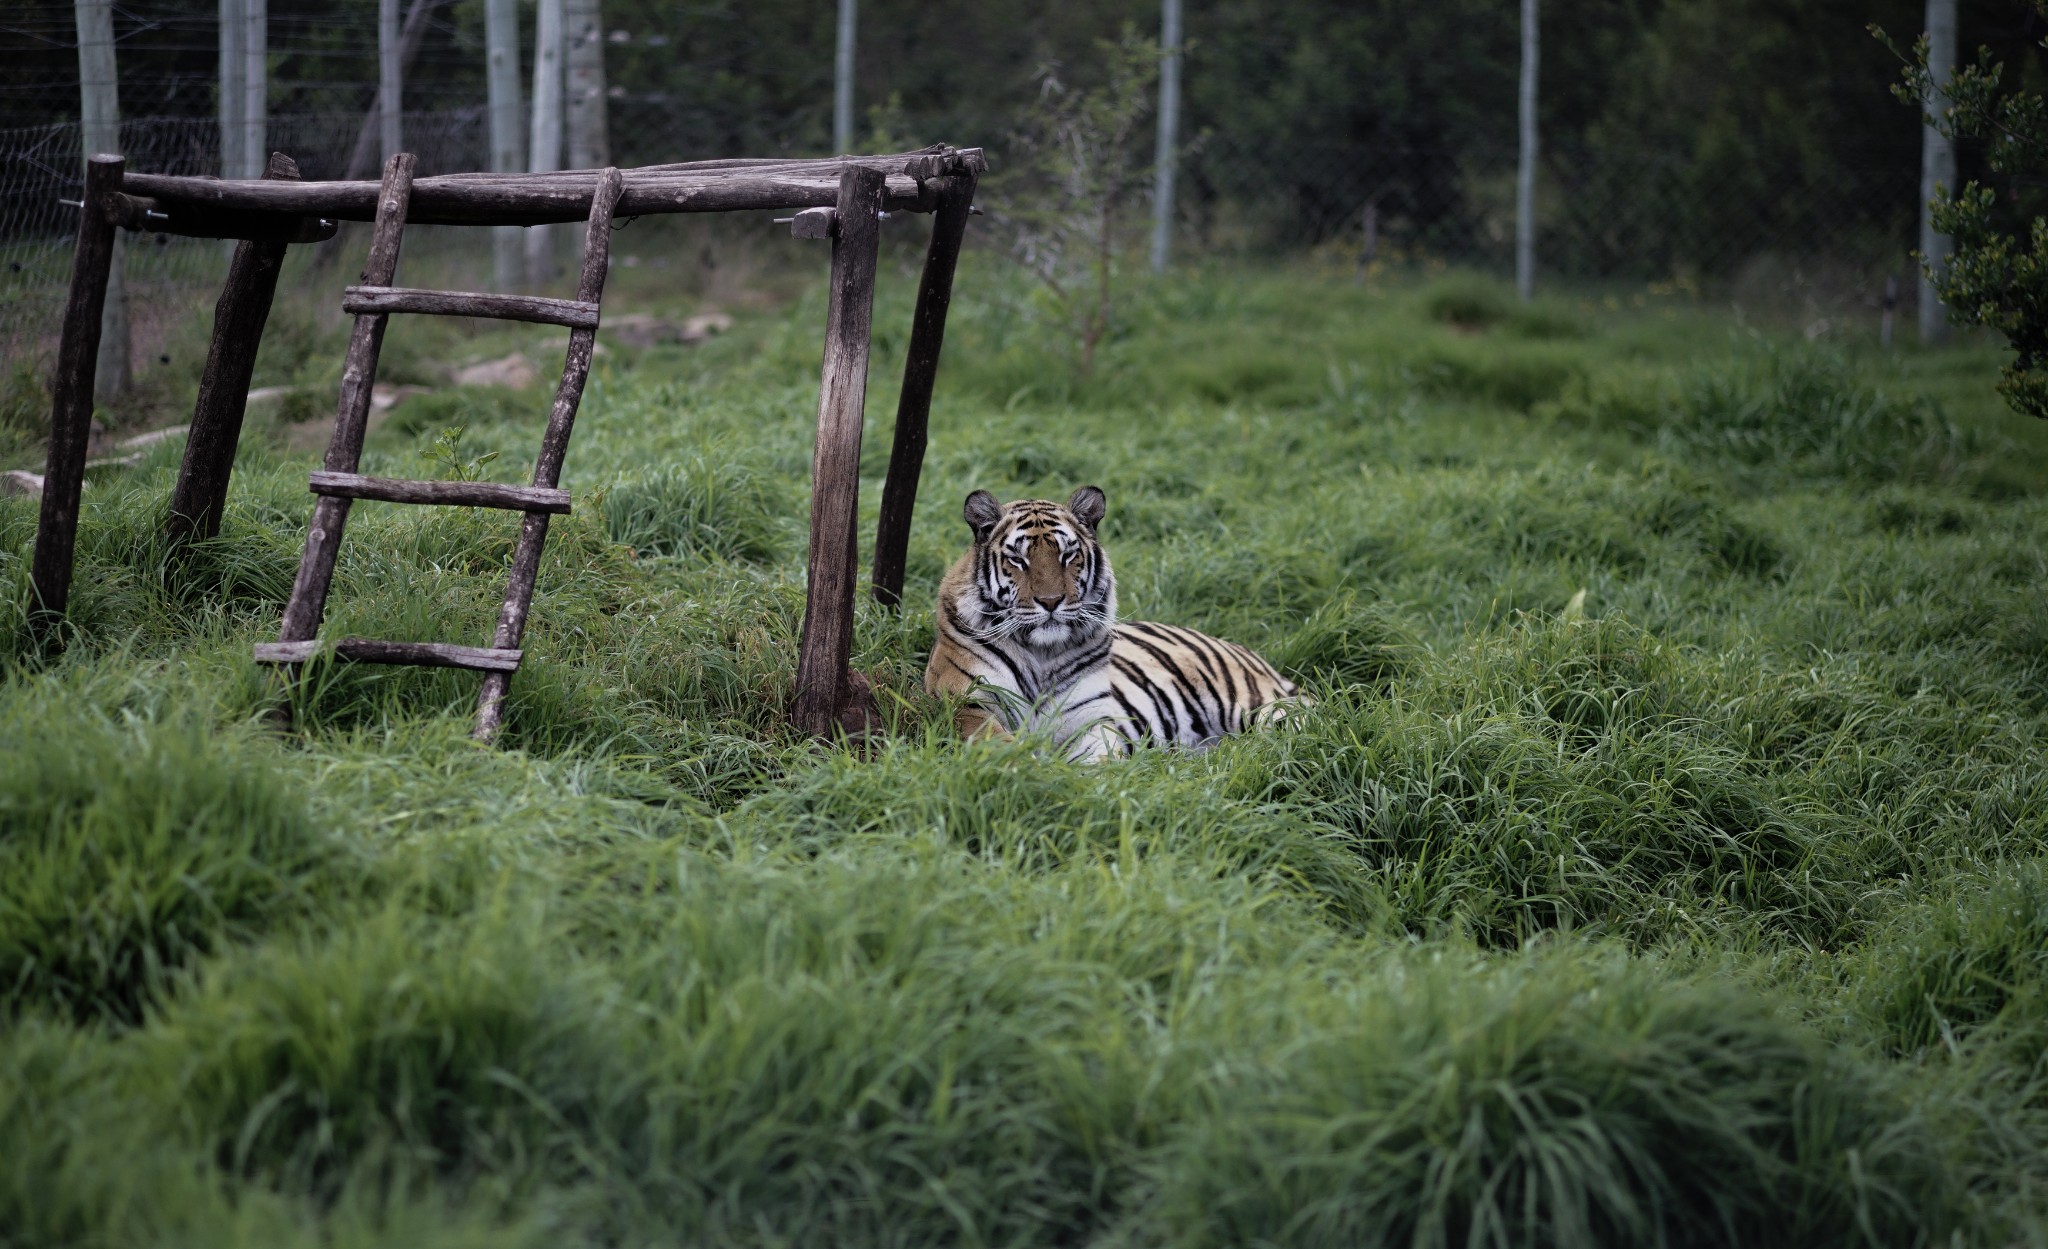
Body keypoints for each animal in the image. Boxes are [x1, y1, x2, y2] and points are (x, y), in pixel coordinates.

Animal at [925, 483, 1302, 757]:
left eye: (1067, 555)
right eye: (1018, 559)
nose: (1051, 601)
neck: (1041, 655)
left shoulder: (1090, 718)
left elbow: (1099, 758)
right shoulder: (967, 702)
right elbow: (994, 742)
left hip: (1267, 709)